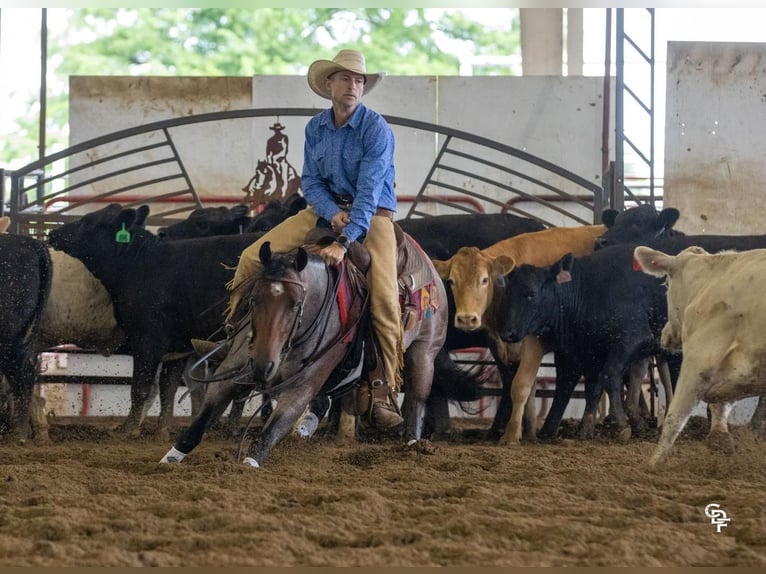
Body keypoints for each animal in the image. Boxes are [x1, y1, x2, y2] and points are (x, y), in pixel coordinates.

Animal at [162, 232, 450, 470]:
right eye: (253, 298)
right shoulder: (232, 371)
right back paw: (307, 427)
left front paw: (249, 463)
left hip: (424, 352)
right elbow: (201, 421)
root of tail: (431, 269)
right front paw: (170, 459)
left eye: (295, 304)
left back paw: (414, 445)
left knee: (416, 399)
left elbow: (271, 431)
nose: (263, 365)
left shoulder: (303, 385)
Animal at [436, 225, 608, 446]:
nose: (466, 319)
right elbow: (521, 388)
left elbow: (520, 386)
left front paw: (511, 435)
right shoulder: (501, 345)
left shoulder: (532, 342)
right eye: (451, 281)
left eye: (484, 280)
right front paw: (526, 432)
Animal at [632, 246, 766, 468]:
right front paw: (720, 440)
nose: (665, 334)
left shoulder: (700, 358)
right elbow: (721, 405)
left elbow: (675, 416)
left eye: (666, 283)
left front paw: (654, 463)